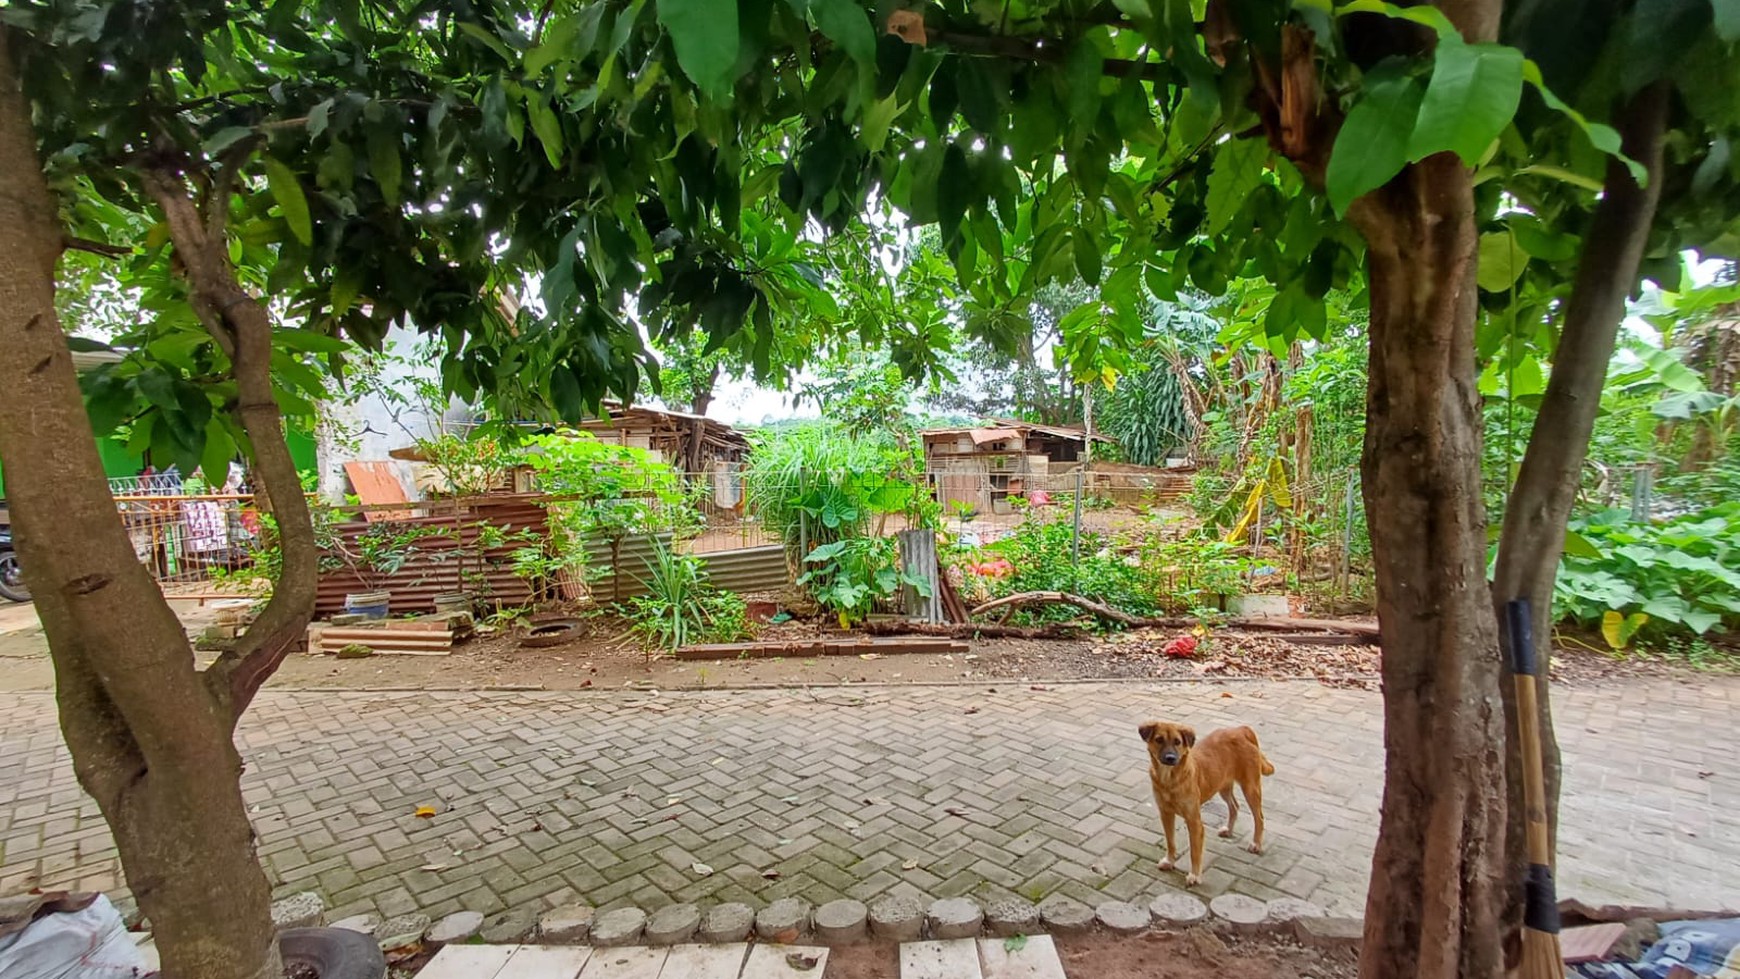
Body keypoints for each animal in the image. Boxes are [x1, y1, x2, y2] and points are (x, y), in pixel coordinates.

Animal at [1141, 719, 1280, 890]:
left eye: (1177, 742)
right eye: (1159, 740)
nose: (1170, 758)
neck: (1170, 779)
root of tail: (1241, 730)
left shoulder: (1194, 821)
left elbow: (1195, 852)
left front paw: (1194, 876)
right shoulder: (1165, 813)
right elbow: (1170, 841)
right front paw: (1169, 861)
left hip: (1250, 787)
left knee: (1259, 817)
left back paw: (1256, 844)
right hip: (1222, 784)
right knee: (1234, 806)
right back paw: (1229, 830)